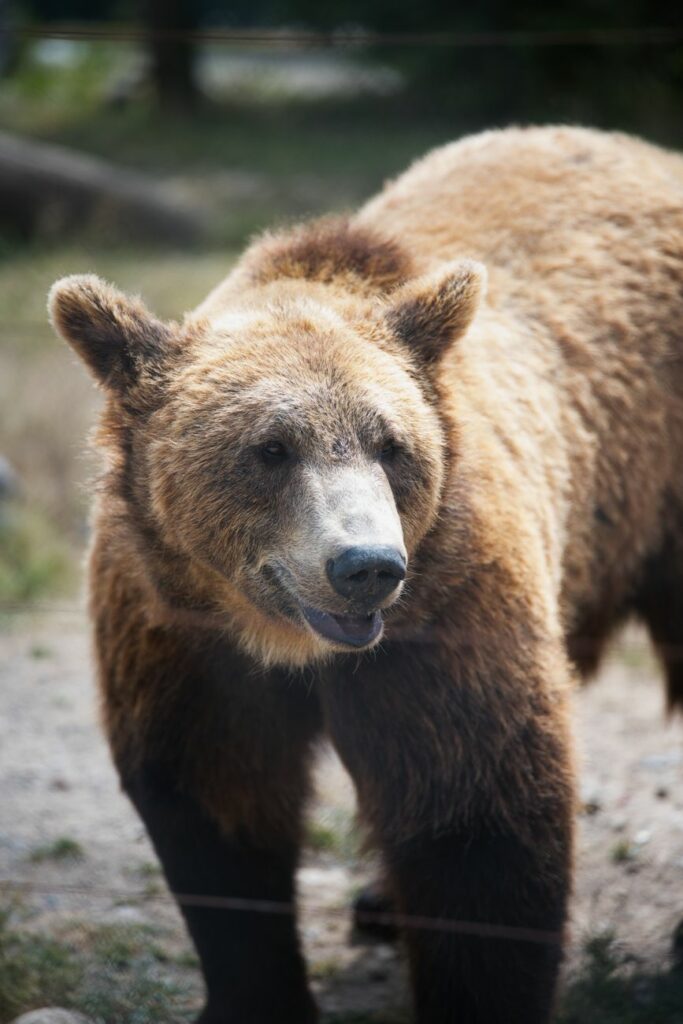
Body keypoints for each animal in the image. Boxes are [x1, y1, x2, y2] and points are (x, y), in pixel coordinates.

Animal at [48, 124, 683, 1024]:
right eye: (270, 448)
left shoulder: (447, 610)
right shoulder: (178, 625)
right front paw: (254, 991)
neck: (285, 642)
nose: (366, 567)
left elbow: (477, 817)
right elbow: (211, 796)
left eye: (391, 445)